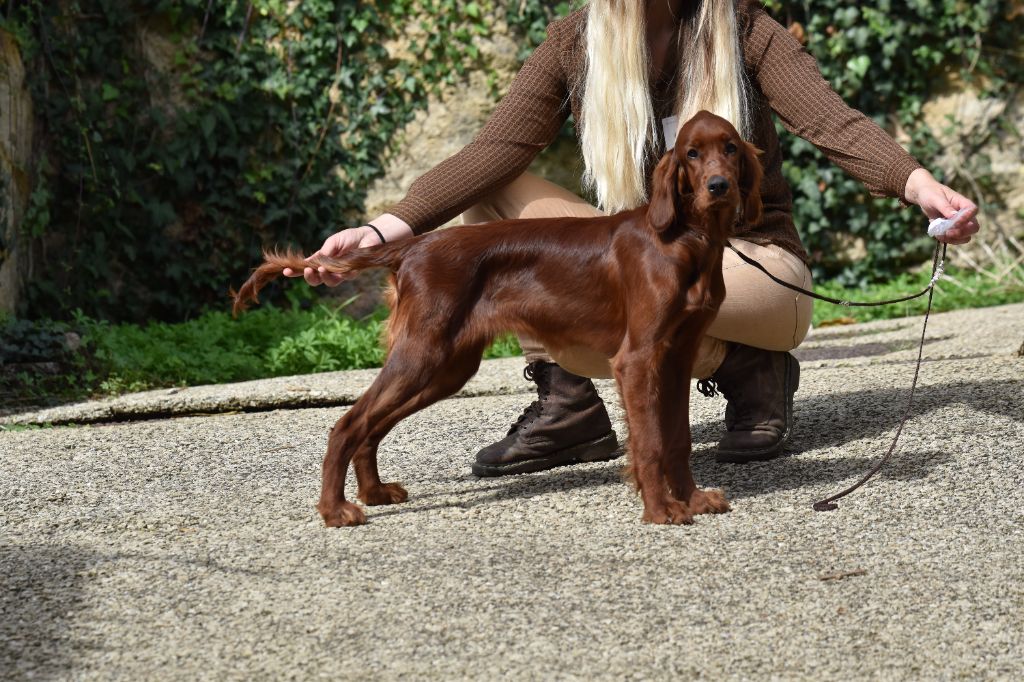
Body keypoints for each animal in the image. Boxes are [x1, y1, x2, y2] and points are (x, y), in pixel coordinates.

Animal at [232, 111, 761, 524]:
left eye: (730, 148)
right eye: (691, 154)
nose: (719, 186)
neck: (685, 240)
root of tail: (415, 246)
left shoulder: (676, 356)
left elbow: (676, 439)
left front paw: (693, 499)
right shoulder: (638, 358)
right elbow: (650, 443)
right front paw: (661, 510)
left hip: (447, 366)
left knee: (370, 427)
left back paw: (374, 493)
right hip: (423, 355)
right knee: (347, 424)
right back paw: (335, 510)